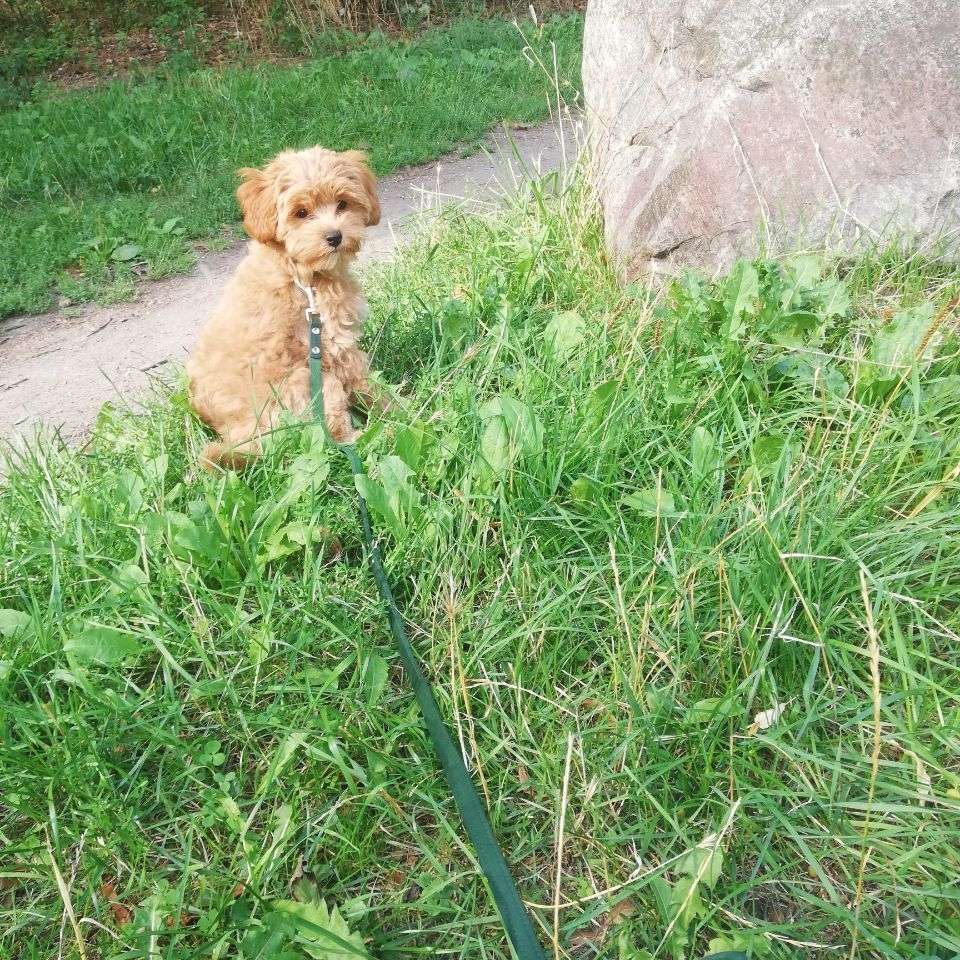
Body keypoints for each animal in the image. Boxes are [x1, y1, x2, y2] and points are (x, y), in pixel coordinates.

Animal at [186, 145, 380, 468]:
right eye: (301, 213)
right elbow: (370, 387)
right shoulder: (336, 347)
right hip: (309, 381)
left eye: (342, 203)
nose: (335, 236)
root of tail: (250, 439)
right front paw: (403, 411)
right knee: (335, 431)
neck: (300, 275)